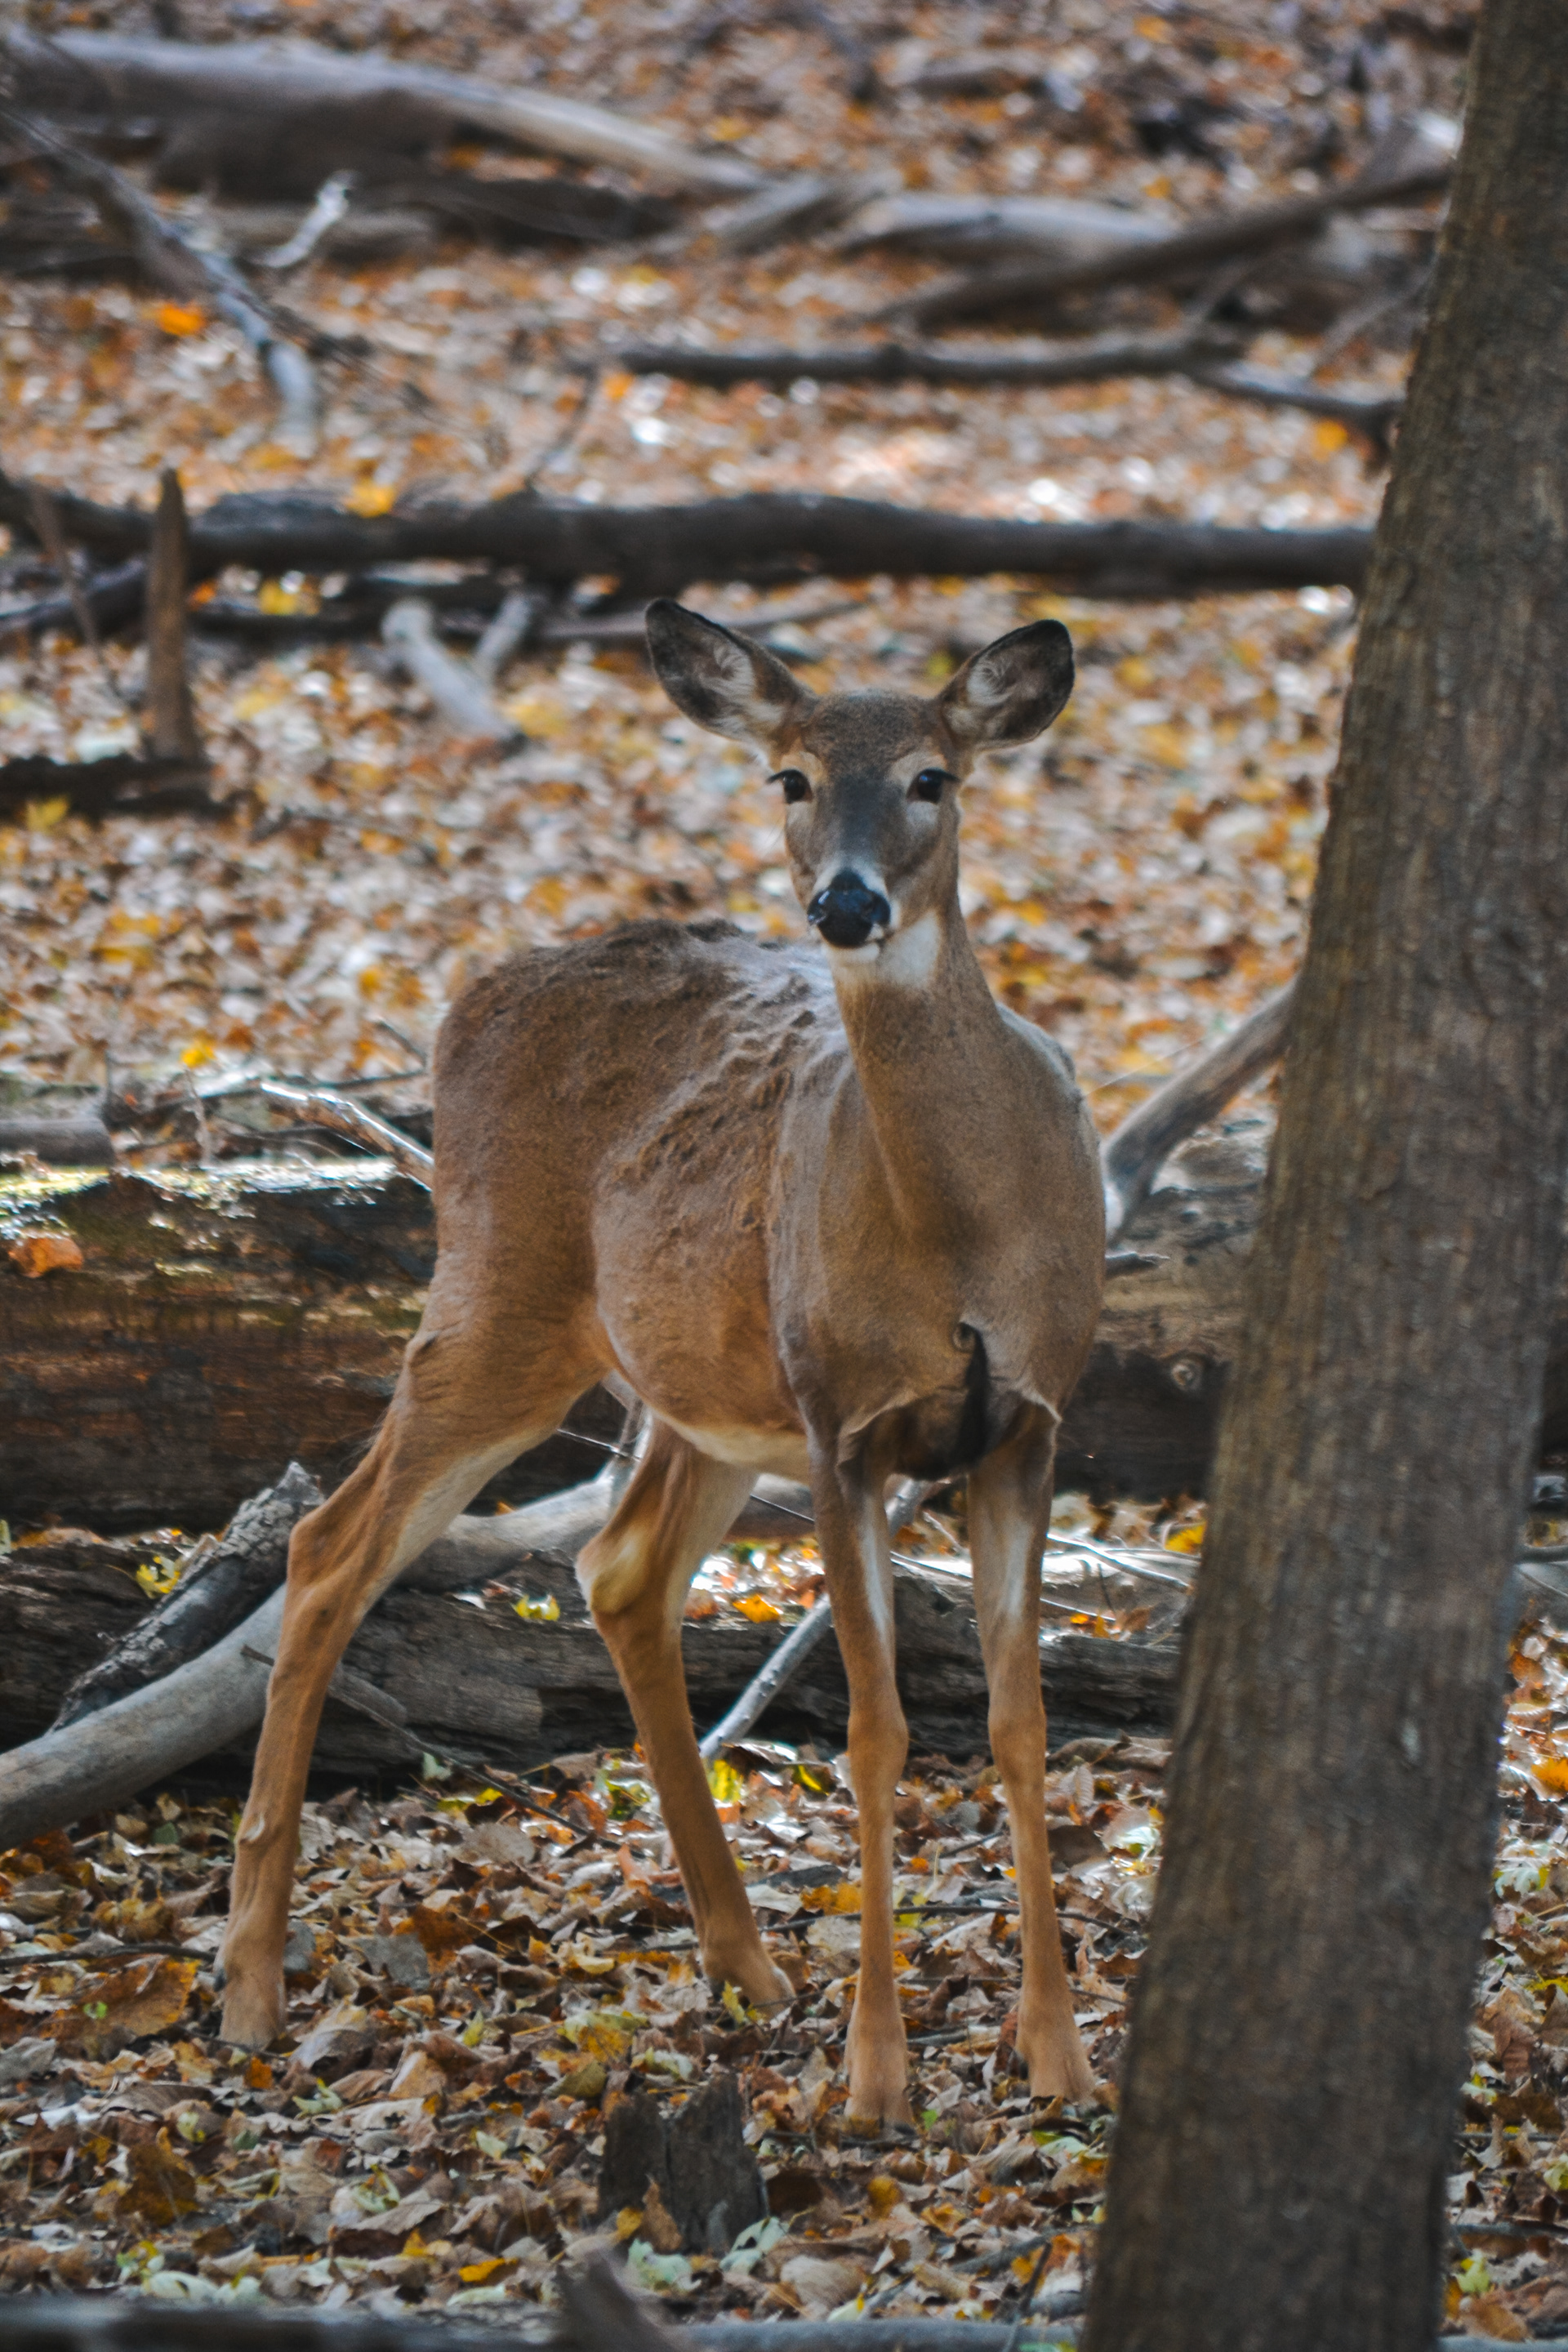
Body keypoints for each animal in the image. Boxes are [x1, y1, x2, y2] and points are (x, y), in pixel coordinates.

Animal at [218, 600, 1106, 2123]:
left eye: (933, 777)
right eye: (790, 778)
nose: (846, 905)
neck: (961, 1235)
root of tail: (462, 1003)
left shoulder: (1027, 1423)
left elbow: (1019, 1722)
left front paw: (1057, 2055)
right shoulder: (840, 1421)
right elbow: (876, 1730)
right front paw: (878, 2076)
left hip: (698, 1393)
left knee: (616, 1567)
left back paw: (746, 1960)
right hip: (502, 1298)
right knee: (329, 1545)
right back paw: (250, 1985)